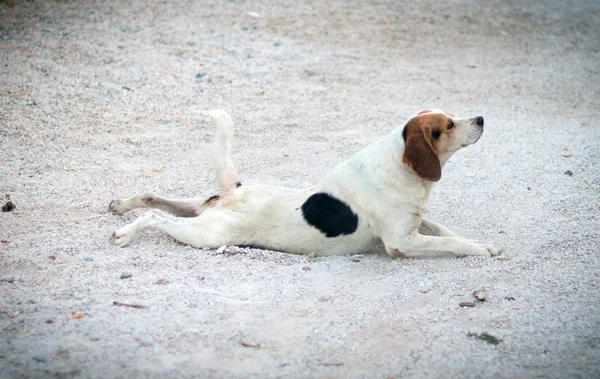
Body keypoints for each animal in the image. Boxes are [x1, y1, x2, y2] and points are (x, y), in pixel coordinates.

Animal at [110, 108, 504, 260]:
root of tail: (234, 193)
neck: (400, 168)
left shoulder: (417, 222)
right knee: (157, 218)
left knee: (154, 197)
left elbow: (448, 232)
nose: (481, 118)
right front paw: (479, 250)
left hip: (199, 209)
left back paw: (121, 206)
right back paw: (125, 233)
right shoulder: (402, 242)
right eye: (448, 125)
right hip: (207, 234)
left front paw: (484, 244)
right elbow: (451, 243)